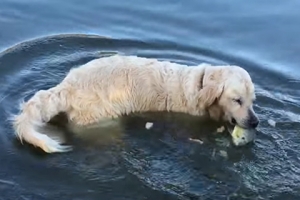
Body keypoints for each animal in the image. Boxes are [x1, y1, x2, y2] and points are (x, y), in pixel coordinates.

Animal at [12, 54, 258, 153]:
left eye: (252, 101)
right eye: (237, 100)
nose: (255, 122)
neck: (200, 85)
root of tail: (67, 86)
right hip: (104, 117)